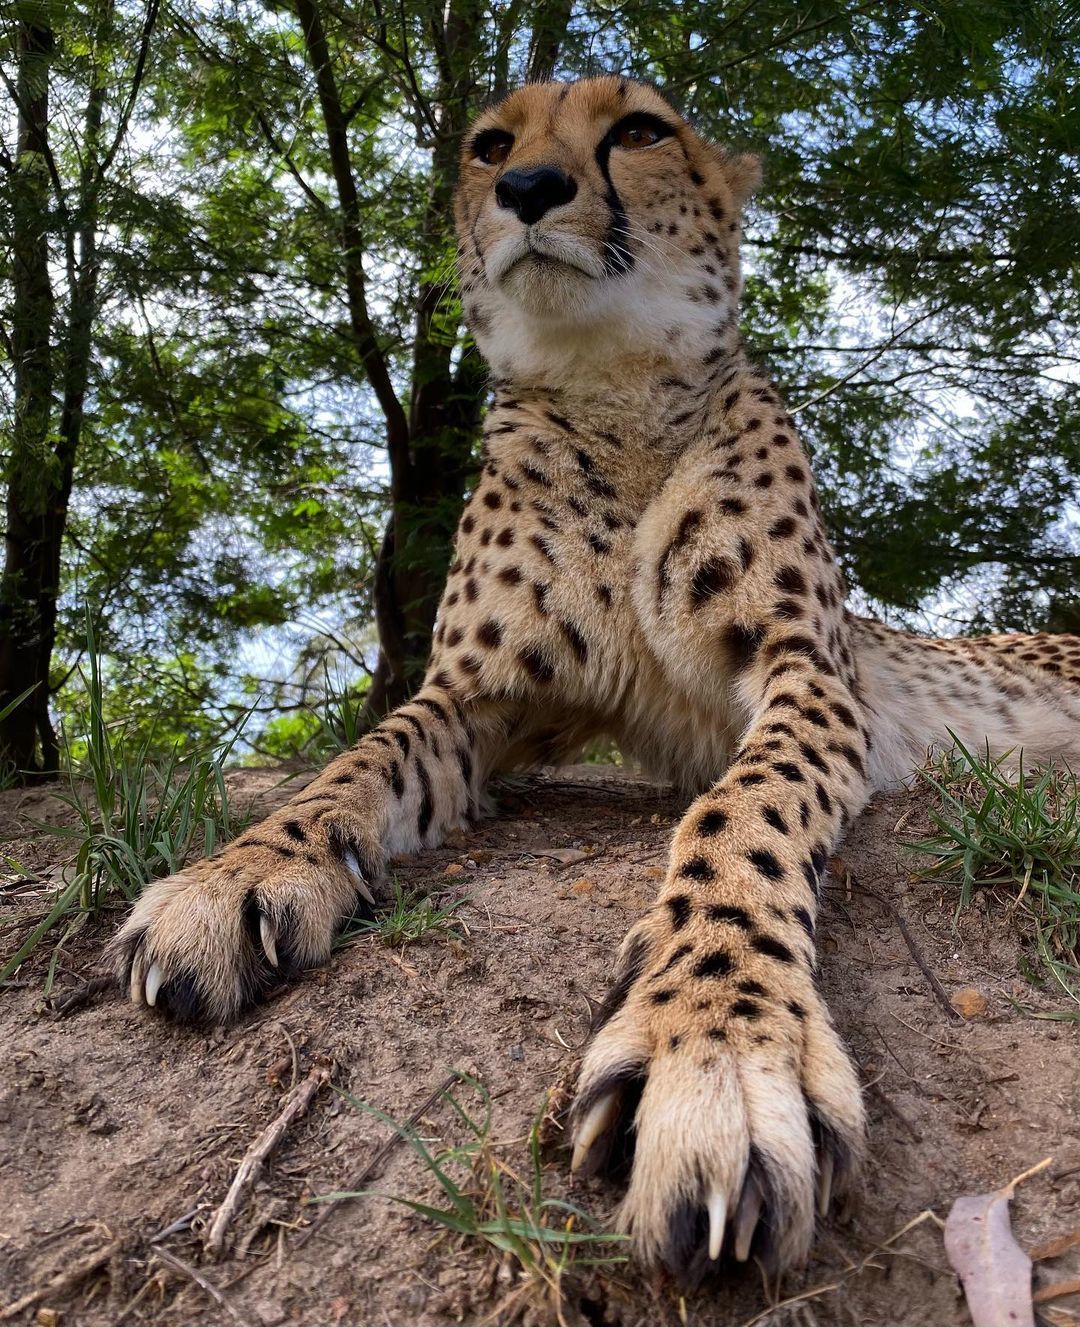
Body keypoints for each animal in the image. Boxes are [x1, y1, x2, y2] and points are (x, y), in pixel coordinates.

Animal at [108, 77, 1080, 1289]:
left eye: (639, 131)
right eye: (490, 146)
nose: (529, 189)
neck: (611, 383)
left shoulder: (810, 672)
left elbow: (741, 811)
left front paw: (717, 1032)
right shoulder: (477, 693)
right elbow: (356, 762)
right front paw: (238, 869)